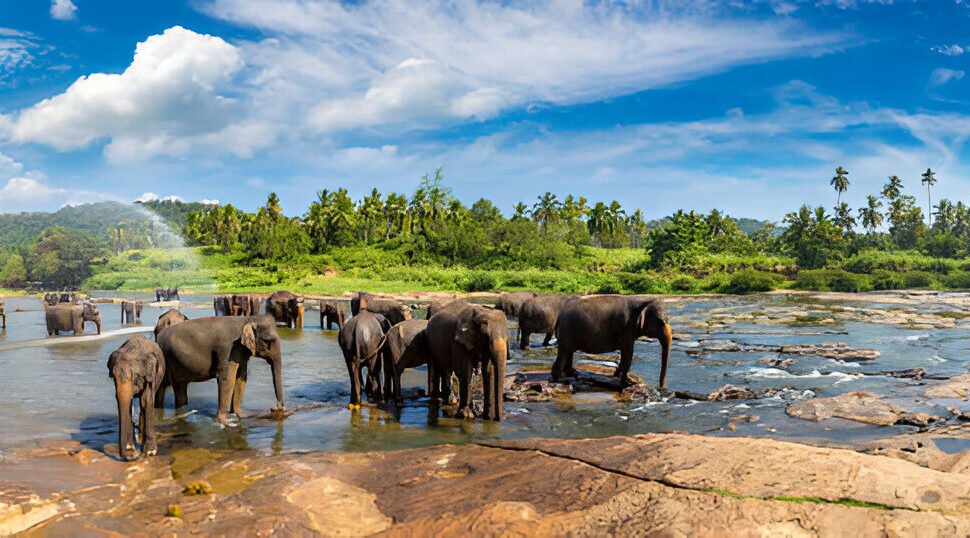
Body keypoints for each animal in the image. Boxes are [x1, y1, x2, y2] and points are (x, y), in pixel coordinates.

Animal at [156, 315, 284, 425]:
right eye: (268, 341)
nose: (276, 407)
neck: (247, 319)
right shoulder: (227, 348)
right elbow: (227, 379)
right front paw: (225, 421)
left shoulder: (240, 351)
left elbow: (241, 378)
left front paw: (240, 415)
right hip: (164, 360)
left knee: (179, 387)